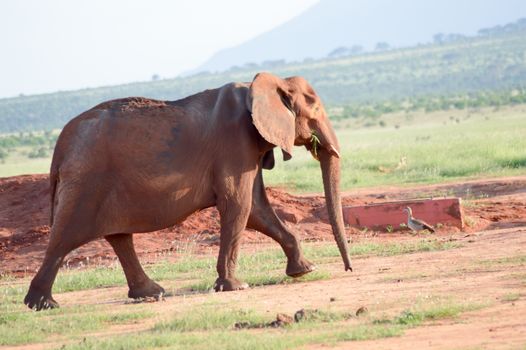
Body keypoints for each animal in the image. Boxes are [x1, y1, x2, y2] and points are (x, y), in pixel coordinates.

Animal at [24, 70, 354, 308]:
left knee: (118, 236)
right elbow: (239, 205)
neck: (260, 85)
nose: (349, 270)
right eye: (315, 110)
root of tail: (60, 144)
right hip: (86, 180)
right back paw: (41, 305)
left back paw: (151, 294)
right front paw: (236, 287)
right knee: (65, 236)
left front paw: (306, 270)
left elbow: (257, 208)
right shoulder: (235, 145)